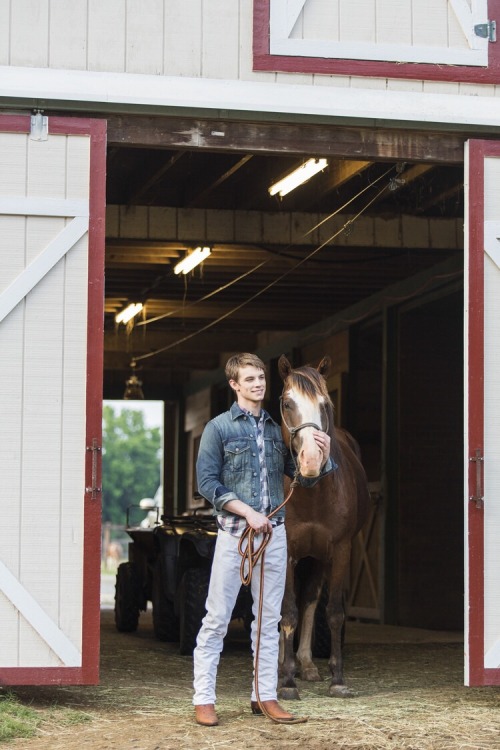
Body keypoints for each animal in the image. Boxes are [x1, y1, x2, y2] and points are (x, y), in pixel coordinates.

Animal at [278, 356, 372, 704]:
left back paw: (305, 665)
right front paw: (286, 682)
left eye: (325, 404)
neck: (311, 492)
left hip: (318, 557)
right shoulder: (286, 549)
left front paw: (337, 679)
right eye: (287, 402)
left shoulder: (340, 549)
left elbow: (332, 611)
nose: (310, 460)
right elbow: (287, 611)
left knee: (310, 598)